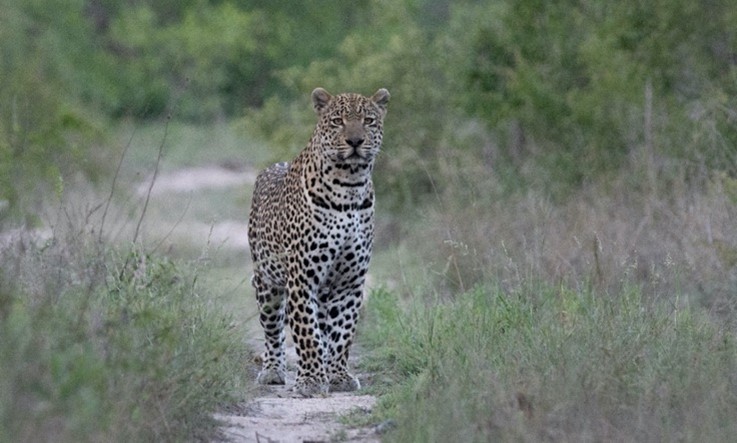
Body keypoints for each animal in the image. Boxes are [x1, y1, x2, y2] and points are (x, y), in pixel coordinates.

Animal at [248, 87, 390, 397]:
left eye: (368, 120)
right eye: (337, 121)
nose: (355, 141)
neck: (349, 187)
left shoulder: (349, 282)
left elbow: (343, 333)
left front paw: (338, 376)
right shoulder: (302, 279)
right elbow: (307, 334)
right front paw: (311, 380)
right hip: (267, 285)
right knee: (273, 330)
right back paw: (273, 371)